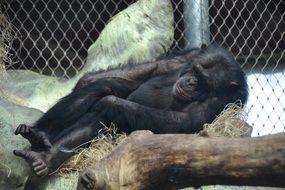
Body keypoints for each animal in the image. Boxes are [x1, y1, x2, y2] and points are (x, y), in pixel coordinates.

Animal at [12, 43, 246, 177]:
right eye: (196, 70)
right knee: (103, 86)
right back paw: (38, 136)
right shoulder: (189, 55)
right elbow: (155, 67)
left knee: (103, 115)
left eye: (203, 81)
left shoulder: (220, 104)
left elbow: (185, 122)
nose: (190, 82)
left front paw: (109, 102)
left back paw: (44, 158)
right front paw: (86, 81)